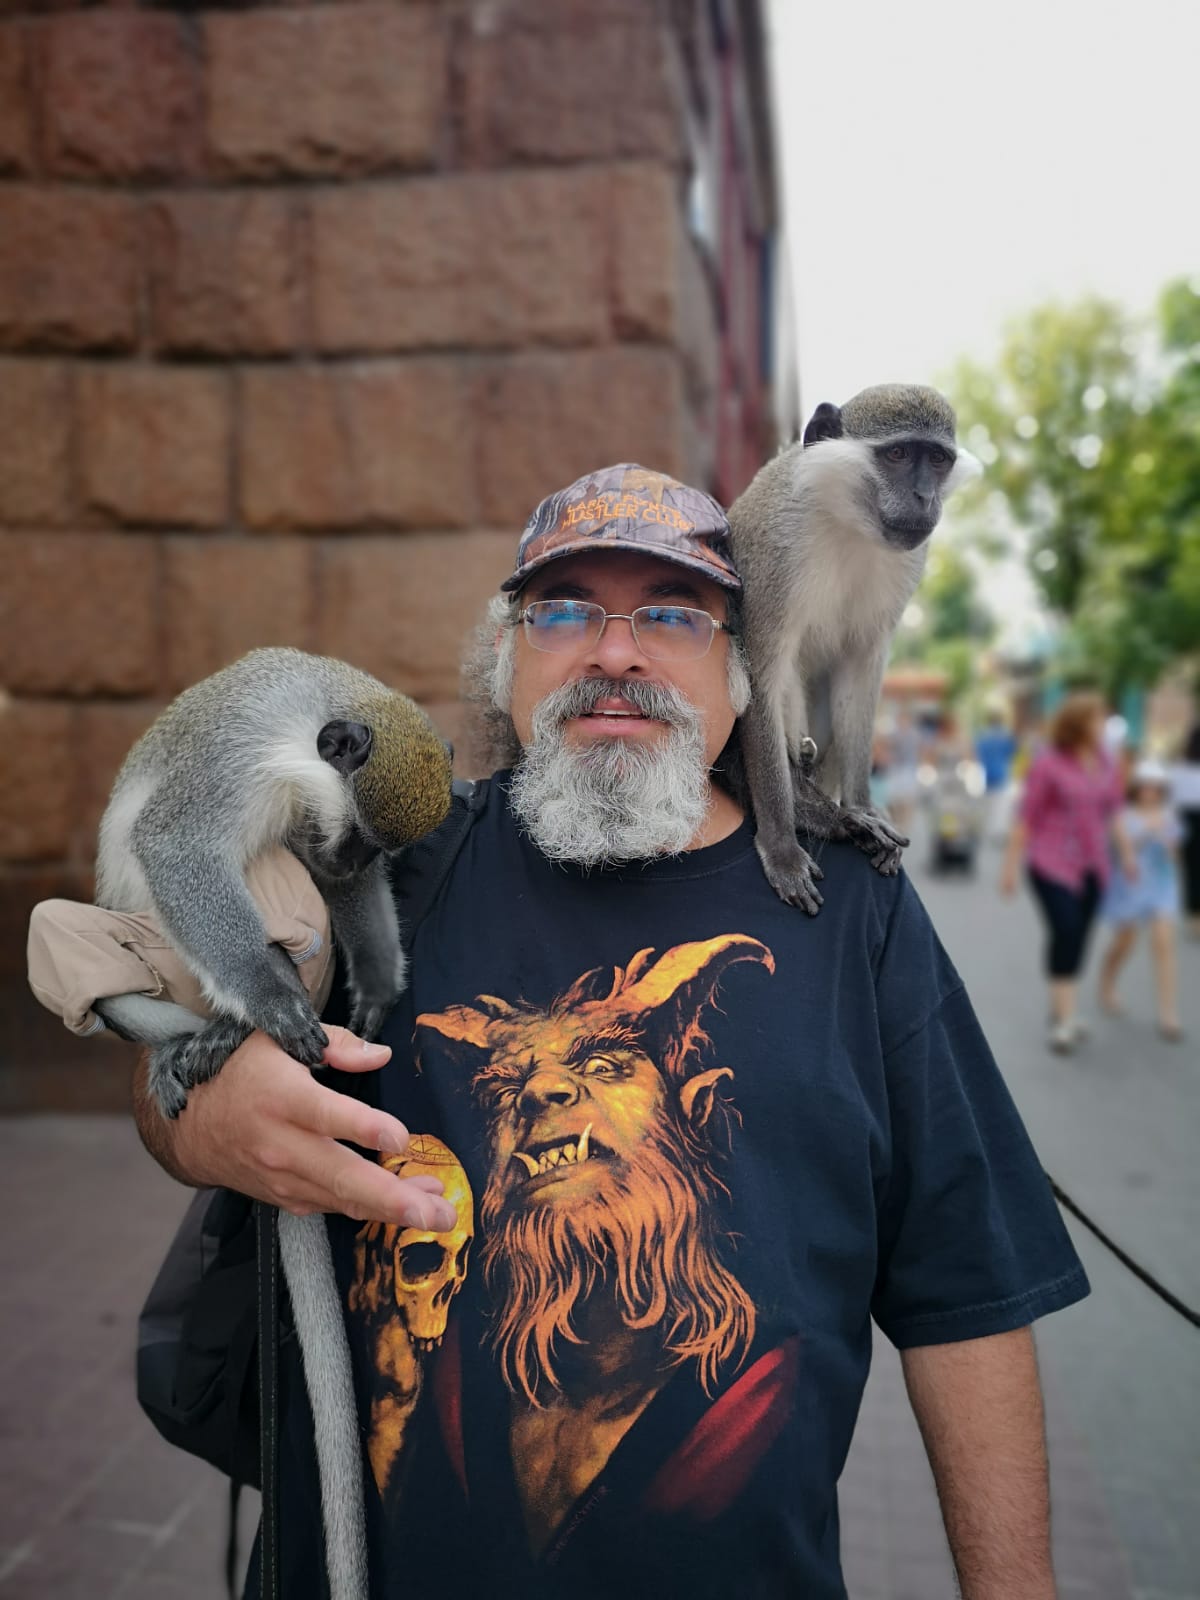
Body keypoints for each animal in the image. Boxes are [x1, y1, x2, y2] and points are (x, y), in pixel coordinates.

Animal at [31, 646, 453, 1600]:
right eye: (365, 836)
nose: (351, 853)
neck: (311, 722)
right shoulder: (236, 762)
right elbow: (177, 848)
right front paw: (268, 998)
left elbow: (323, 885)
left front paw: (374, 981)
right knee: (81, 933)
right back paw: (213, 1029)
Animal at [727, 384, 980, 911]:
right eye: (899, 454)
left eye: (938, 460)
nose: (924, 496)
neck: (846, 520)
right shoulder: (775, 551)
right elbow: (760, 674)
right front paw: (782, 844)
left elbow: (860, 670)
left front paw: (863, 805)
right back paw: (814, 813)